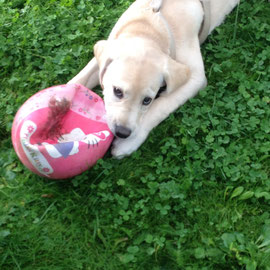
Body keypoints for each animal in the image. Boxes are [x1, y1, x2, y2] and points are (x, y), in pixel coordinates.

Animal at [68, 0, 239, 158]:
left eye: (147, 101)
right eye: (117, 91)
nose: (122, 132)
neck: (149, 27)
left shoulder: (195, 77)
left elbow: (160, 106)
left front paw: (129, 143)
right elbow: (79, 79)